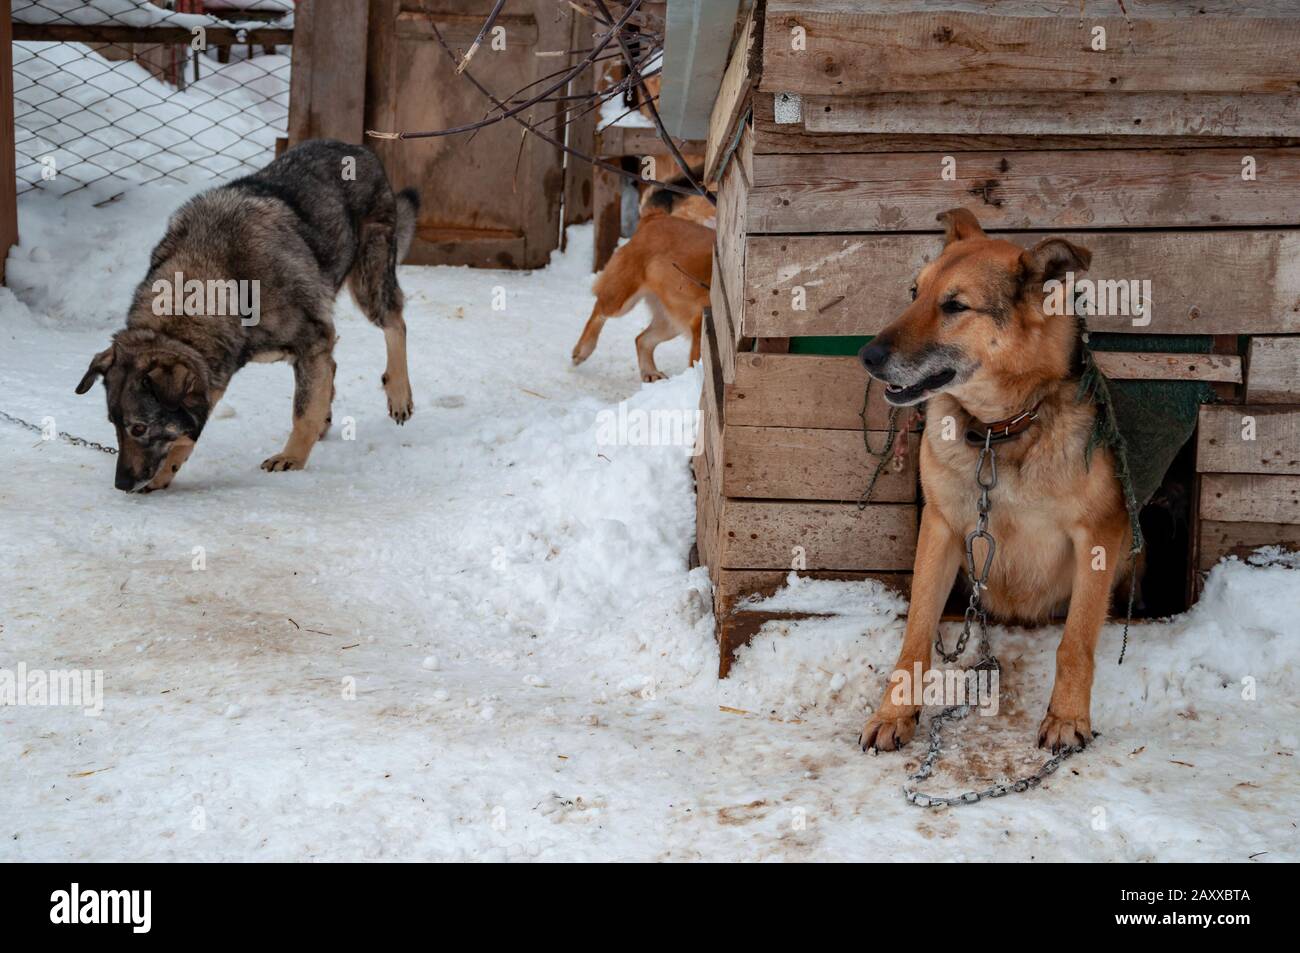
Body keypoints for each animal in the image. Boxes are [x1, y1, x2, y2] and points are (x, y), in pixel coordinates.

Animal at [76, 139, 418, 491]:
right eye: (113, 424)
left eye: (139, 428)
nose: (121, 484)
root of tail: (357, 147)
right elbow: (188, 435)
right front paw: (165, 474)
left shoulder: (312, 341)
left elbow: (303, 411)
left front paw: (292, 458)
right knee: (335, 365)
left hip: (369, 282)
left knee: (396, 322)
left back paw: (399, 393)